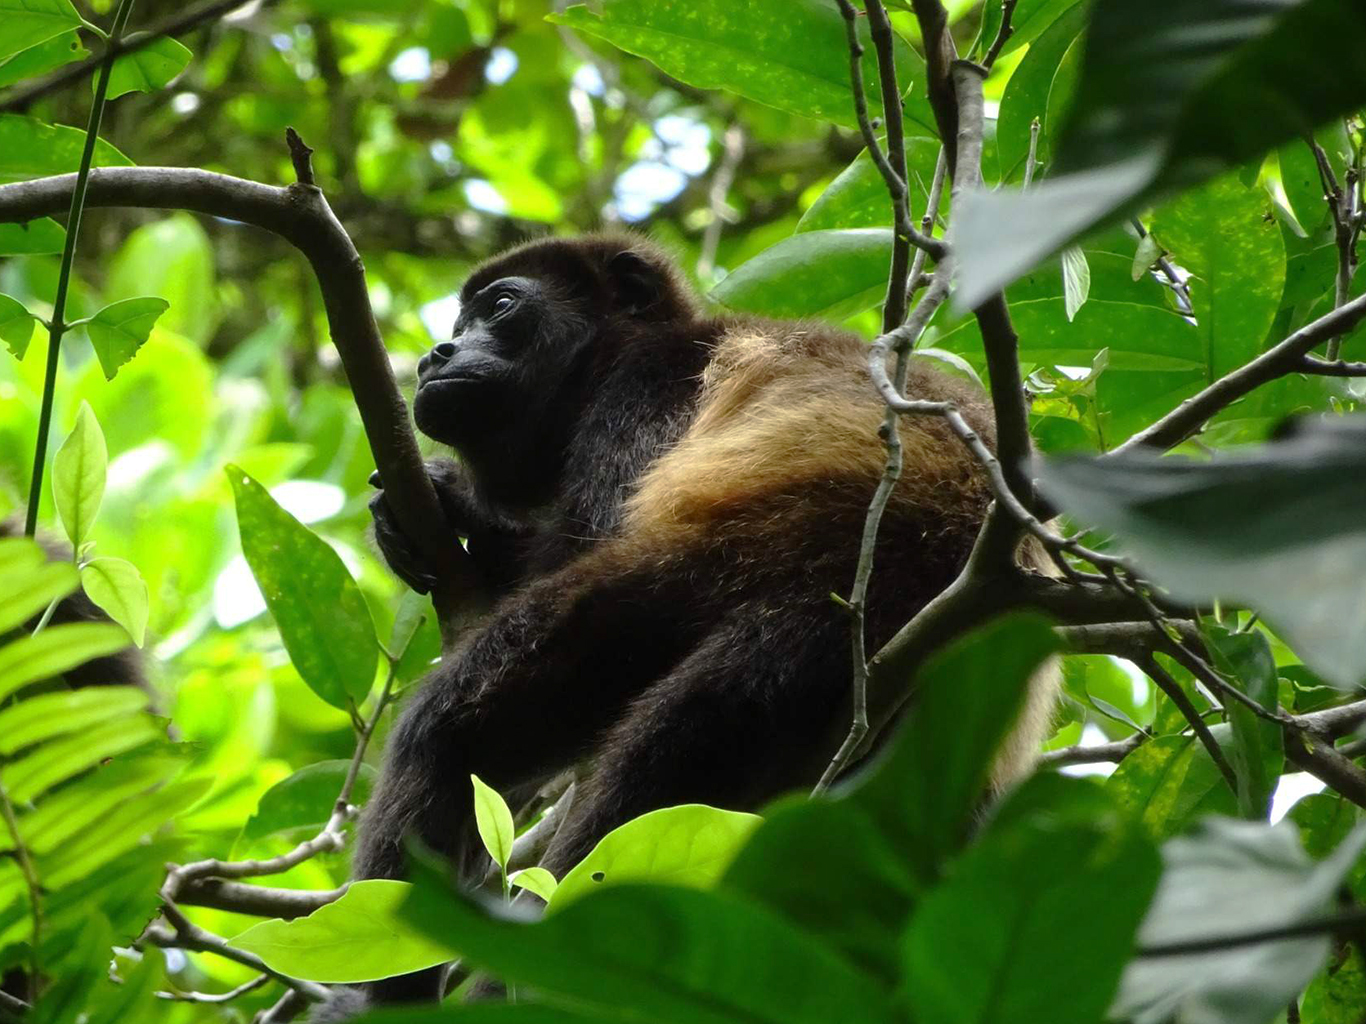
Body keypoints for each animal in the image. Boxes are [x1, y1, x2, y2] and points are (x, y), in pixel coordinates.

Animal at [352, 238, 1054, 1010]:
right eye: (457, 322)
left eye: (500, 307)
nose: (436, 353)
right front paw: (434, 506)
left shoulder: (643, 388)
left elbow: (590, 537)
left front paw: (466, 511)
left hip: (760, 578)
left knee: (487, 737)